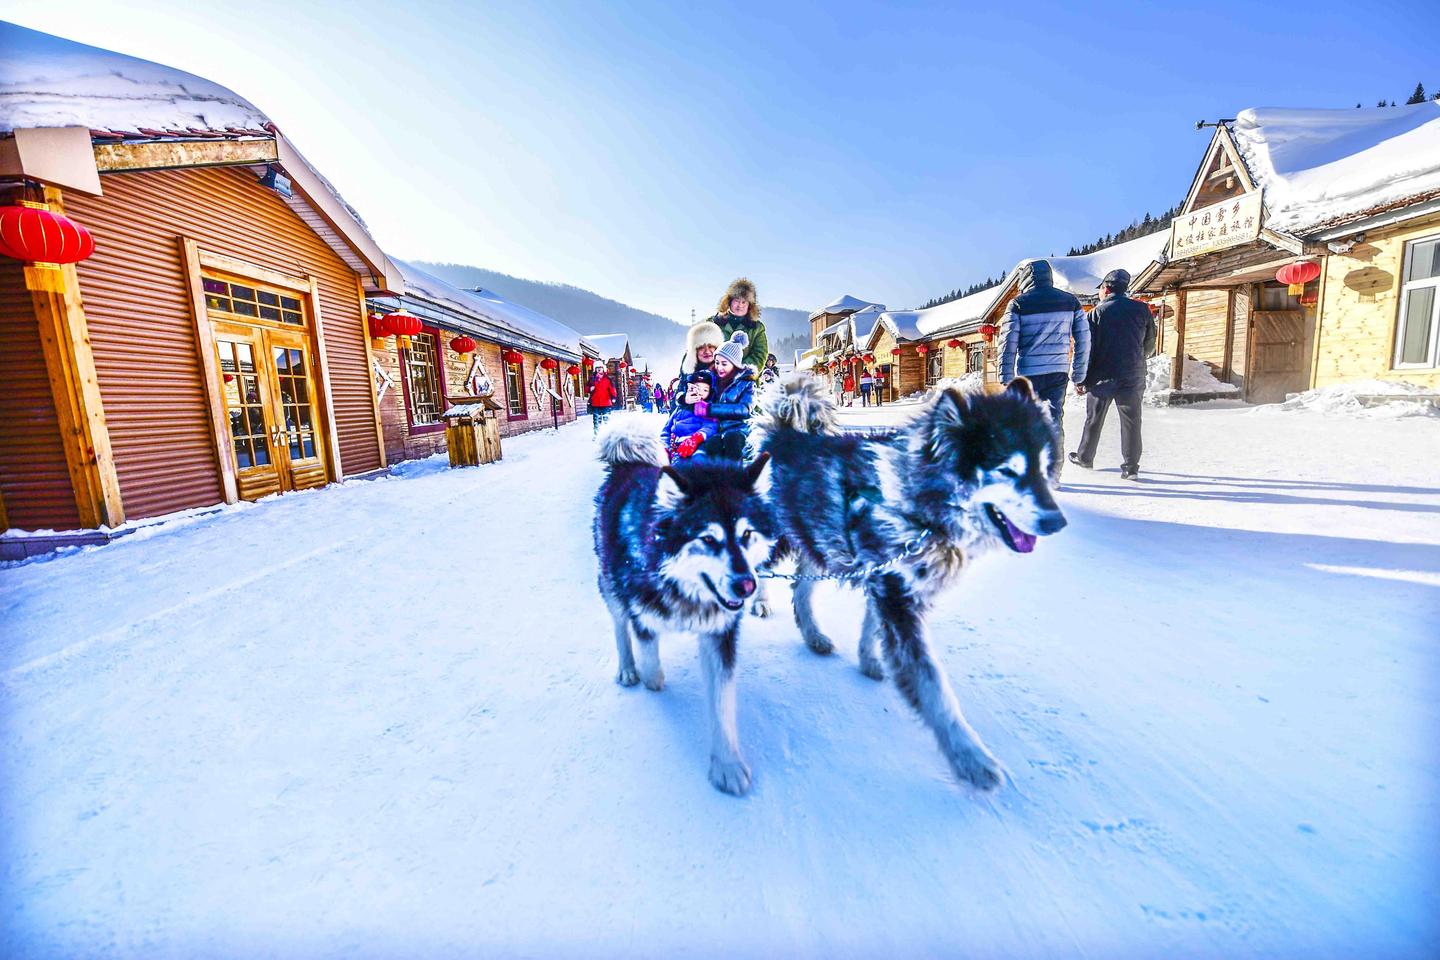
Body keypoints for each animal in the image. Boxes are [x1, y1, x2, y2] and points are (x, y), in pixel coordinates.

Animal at [593, 420, 783, 794]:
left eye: (747, 535)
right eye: (708, 539)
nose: (748, 586)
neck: (683, 586)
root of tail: (628, 463)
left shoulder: (721, 634)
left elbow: (722, 701)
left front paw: (727, 764)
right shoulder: (641, 612)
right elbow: (651, 663)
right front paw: (649, 676)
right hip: (610, 583)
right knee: (620, 624)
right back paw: (627, 668)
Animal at [760, 374, 1065, 788]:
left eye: (1045, 467)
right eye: (1006, 471)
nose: (1057, 521)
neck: (918, 508)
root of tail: (783, 435)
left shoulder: (884, 582)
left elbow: (871, 625)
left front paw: (869, 660)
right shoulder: (896, 598)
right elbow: (934, 691)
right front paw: (970, 757)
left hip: (820, 545)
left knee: (800, 589)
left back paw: (814, 635)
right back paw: (757, 601)